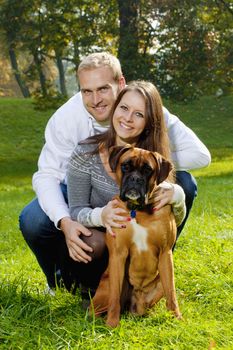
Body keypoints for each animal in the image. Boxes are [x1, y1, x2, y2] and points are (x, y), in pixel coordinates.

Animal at [90, 145, 181, 328]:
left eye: (148, 170)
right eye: (125, 166)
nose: (135, 179)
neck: (137, 211)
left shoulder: (165, 253)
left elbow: (172, 294)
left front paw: (177, 318)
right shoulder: (118, 255)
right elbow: (114, 298)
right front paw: (112, 324)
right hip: (105, 288)